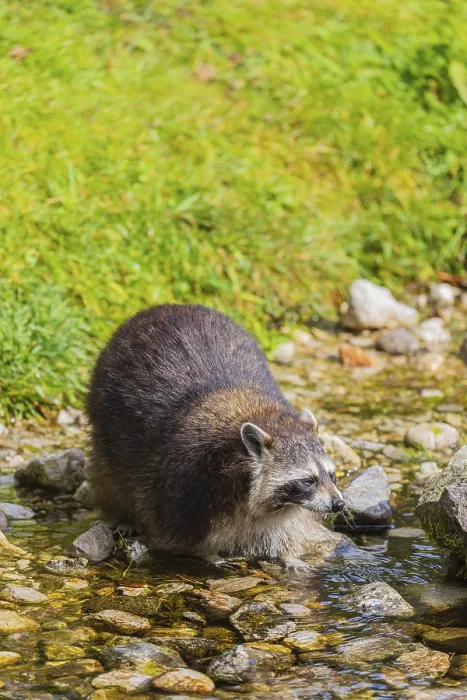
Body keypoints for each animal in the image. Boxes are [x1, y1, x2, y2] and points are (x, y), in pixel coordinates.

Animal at [86, 304, 344, 569]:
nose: (339, 504)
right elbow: (177, 529)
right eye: (308, 480)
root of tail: (164, 308)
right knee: (111, 472)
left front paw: (289, 554)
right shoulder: (187, 478)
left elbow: (285, 526)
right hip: (106, 415)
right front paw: (206, 553)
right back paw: (121, 512)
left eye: (332, 475)